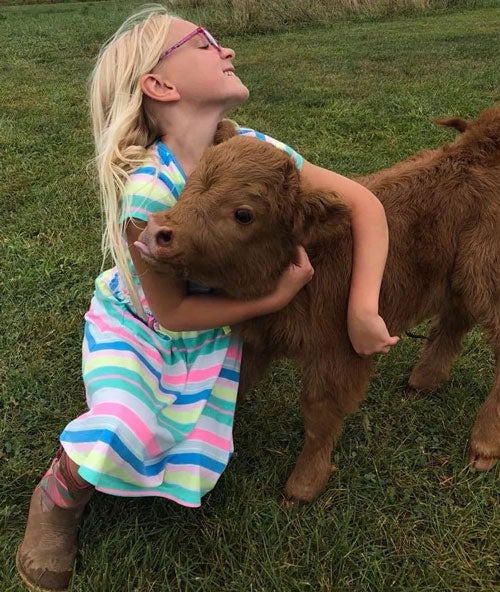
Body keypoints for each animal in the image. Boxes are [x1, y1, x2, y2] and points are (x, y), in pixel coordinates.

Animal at [137, 105, 500, 500]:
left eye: (244, 214)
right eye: (191, 182)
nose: (158, 233)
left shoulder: (337, 354)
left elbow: (319, 414)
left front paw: (304, 485)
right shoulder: (259, 340)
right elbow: (240, 384)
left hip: (487, 279)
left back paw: (483, 446)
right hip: (463, 278)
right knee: (454, 320)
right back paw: (423, 381)